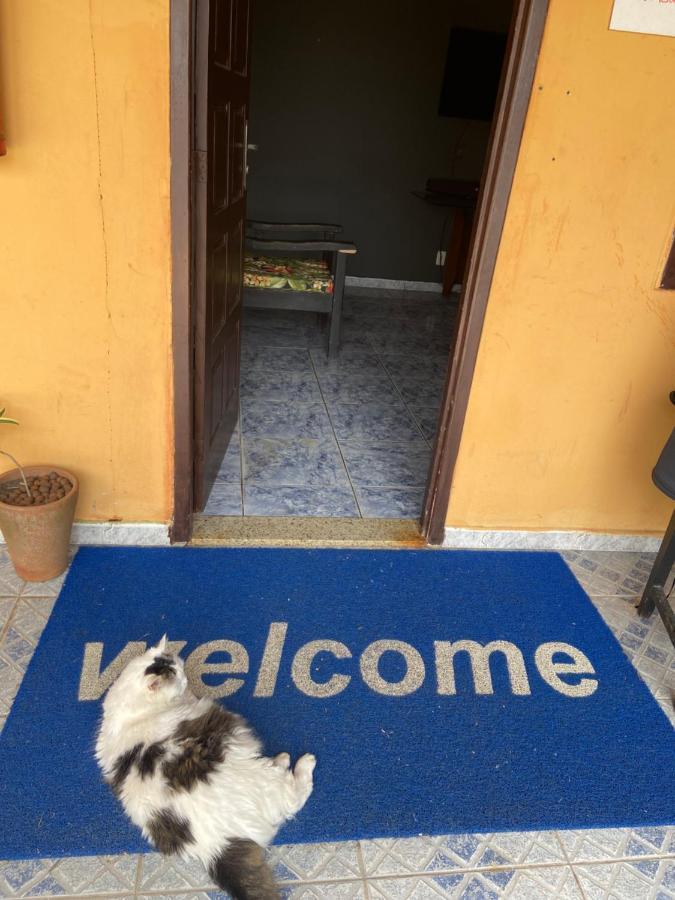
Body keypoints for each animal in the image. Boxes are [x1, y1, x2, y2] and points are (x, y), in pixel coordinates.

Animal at [96, 636, 318, 896]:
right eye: (176, 676)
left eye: (179, 667)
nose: (185, 678)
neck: (132, 712)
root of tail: (214, 846)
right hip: (261, 775)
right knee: (293, 797)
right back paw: (295, 761)